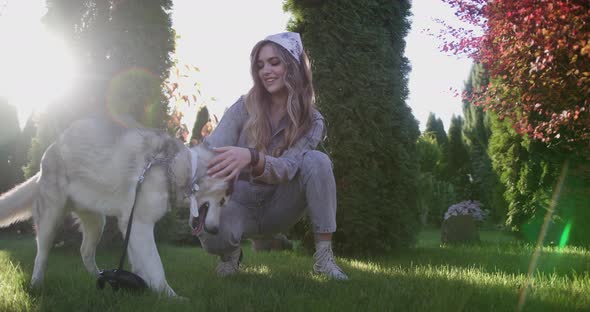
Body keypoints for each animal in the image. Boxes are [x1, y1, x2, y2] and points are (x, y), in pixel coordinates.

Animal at [0, 118, 230, 296]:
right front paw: (172, 298)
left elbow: (142, 264)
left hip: (96, 223)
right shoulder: (140, 225)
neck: (173, 165)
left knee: (85, 251)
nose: (215, 230)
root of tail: (49, 151)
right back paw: (36, 285)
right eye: (223, 200)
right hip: (51, 220)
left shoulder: (132, 227)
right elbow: (156, 267)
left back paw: (101, 277)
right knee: (42, 255)